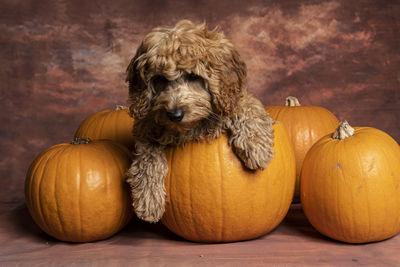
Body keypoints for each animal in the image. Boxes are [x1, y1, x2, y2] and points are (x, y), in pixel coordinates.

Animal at [125, 19, 276, 224]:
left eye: (193, 76)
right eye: (160, 79)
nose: (174, 114)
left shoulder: (234, 98)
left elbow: (245, 106)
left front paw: (256, 145)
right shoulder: (146, 128)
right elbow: (147, 157)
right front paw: (148, 199)